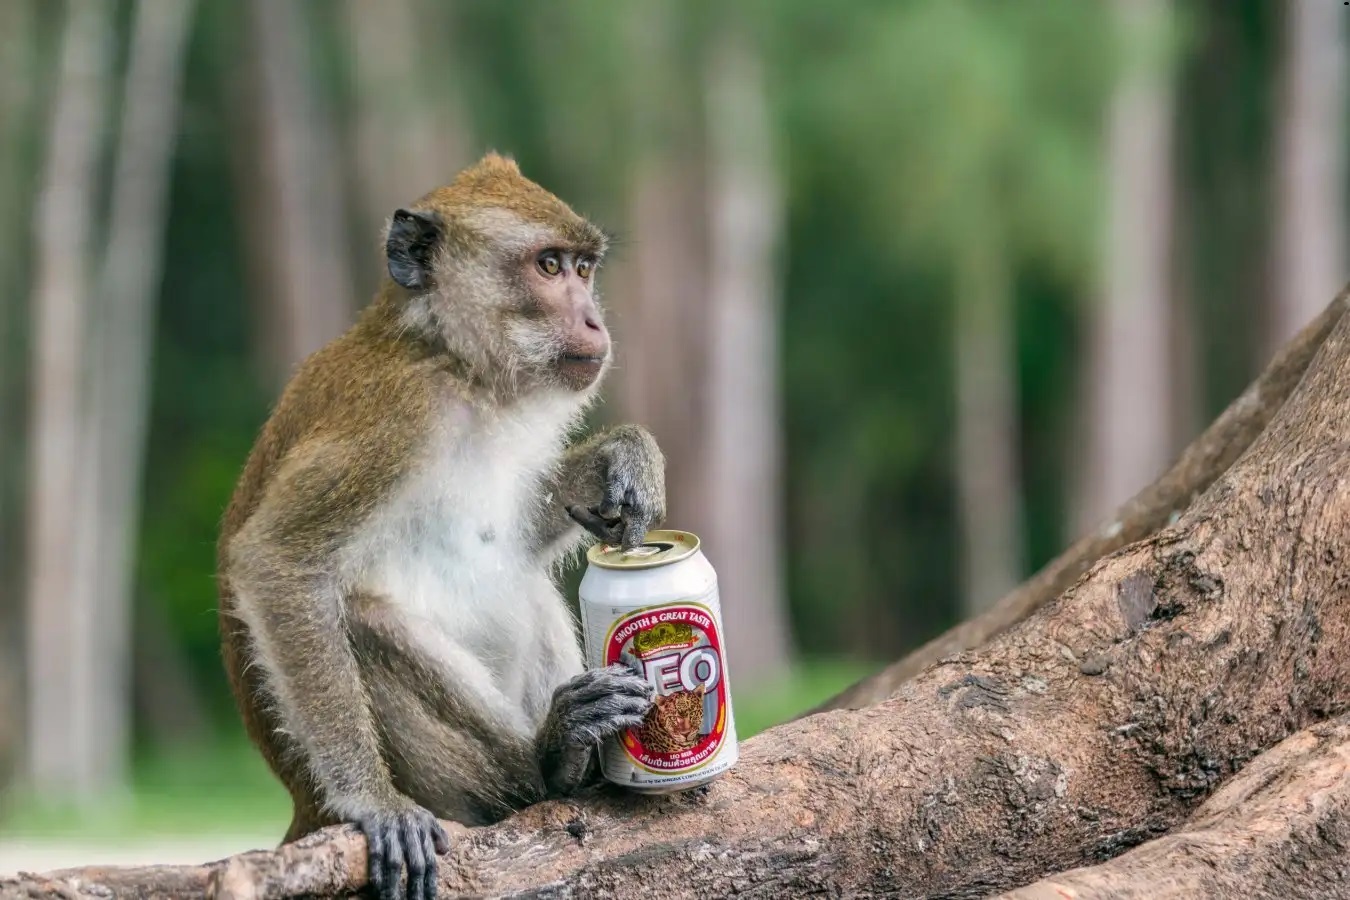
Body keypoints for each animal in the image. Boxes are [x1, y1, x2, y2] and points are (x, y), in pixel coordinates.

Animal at [211, 153, 669, 900]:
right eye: (548, 267)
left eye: (584, 268)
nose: (595, 321)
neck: (456, 363)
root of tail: (301, 808)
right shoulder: (395, 416)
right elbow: (277, 560)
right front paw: (372, 803)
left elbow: (523, 528)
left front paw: (622, 461)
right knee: (363, 619)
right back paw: (551, 761)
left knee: (526, 585)